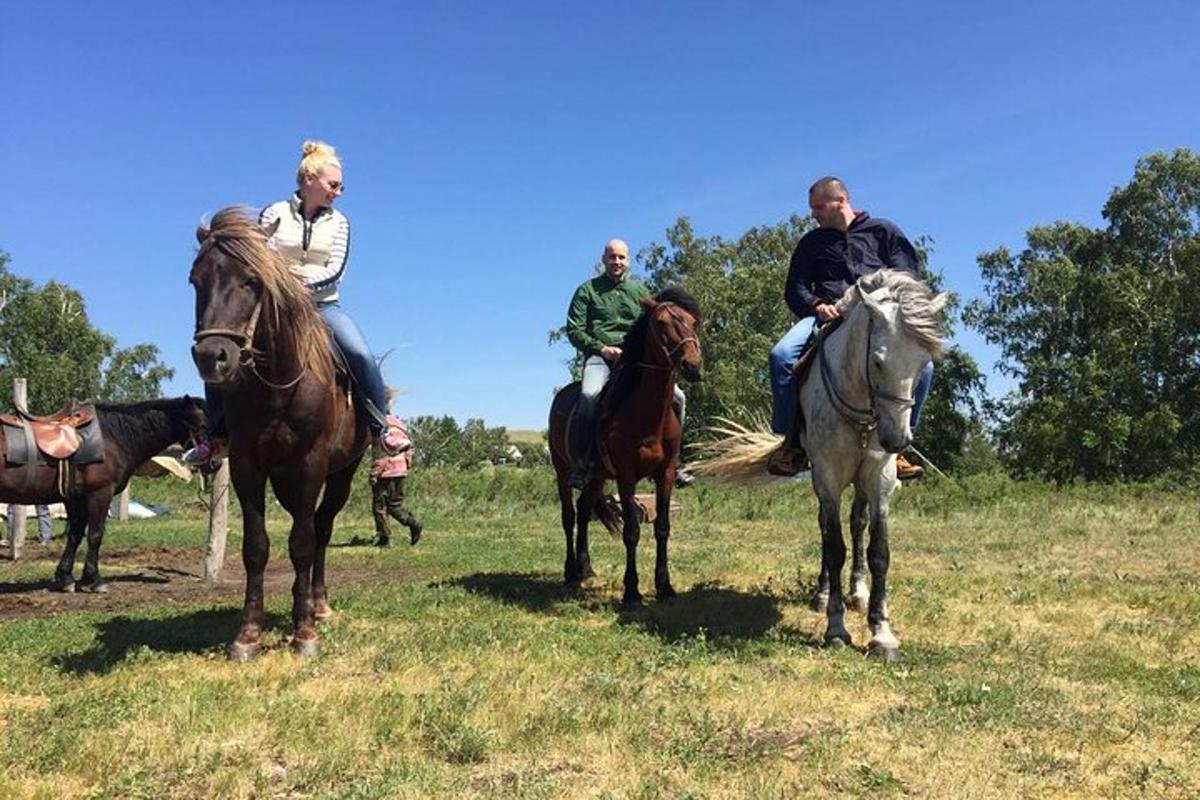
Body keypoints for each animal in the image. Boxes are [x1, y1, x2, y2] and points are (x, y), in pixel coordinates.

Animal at [0, 398, 207, 592]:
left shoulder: (75, 498)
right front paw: (93, 580)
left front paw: (66, 578)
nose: (211, 462)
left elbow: (75, 535)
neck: (114, 437)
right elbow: (95, 535)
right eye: (203, 425)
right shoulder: (100, 493)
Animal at [189, 208, 367, 662]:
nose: (211, 357)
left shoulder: (310, 465)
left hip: (341, 475)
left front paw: (304, 633)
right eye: (195, 279)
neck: (277, 385)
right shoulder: (247, 466)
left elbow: (302, 542)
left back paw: (317, 605)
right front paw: (247, 635)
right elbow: (256, 547)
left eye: (252, 280)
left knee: (321, 529)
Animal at [547, 287, 700, 606]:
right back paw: (570, 572)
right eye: (662, 323)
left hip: (596, 476)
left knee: (584, 510)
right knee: (569, 516)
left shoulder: (665, 472)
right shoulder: (627, 475)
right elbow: (631, 530)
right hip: (561, 470)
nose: (692, 365)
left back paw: (586, 569)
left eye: (693, 322)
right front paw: (632, 591)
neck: (646, 413)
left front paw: (665, 586)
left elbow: (662, 527)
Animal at [696, 268, 945, 662]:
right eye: (878, 361)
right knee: (828, 533)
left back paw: (858, 592)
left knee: (857, 524)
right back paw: (824, 593)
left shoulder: (879, 479)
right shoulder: (827, 477)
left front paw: (882, 633)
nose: (896, 441)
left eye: (923, 363)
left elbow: (879, 551)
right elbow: (833, 546)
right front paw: (836, 627)